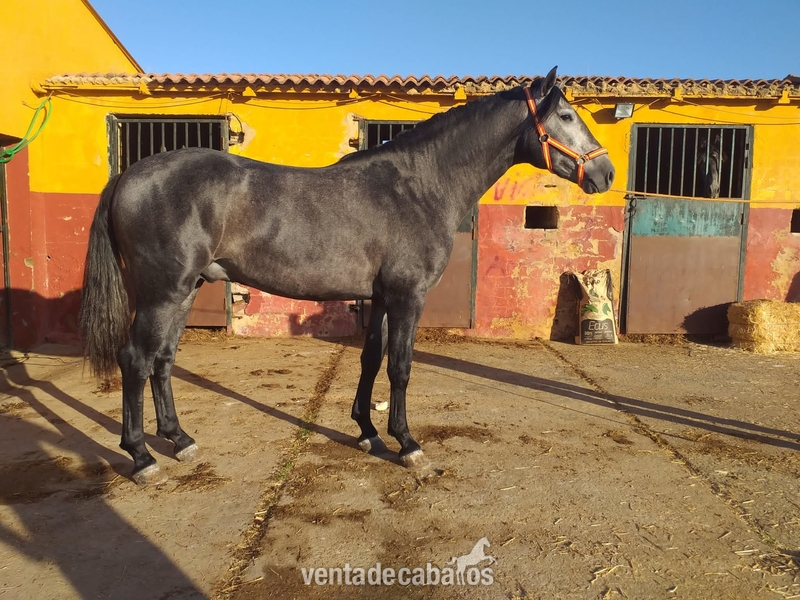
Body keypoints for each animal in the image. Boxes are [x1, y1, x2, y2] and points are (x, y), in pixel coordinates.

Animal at [79, 66, 615, 485]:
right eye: (566, 117)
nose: (606, 174)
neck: (418, 186)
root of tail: (128, 176)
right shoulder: (407, 295)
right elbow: (400, 367)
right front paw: (408, 445)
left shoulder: (378, 297)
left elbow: (371, 360)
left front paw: (368, 432)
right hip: (162, 293)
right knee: (135, 359)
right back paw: (142, 456)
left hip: (183, 291)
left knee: (162, 360)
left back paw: (179, 439)